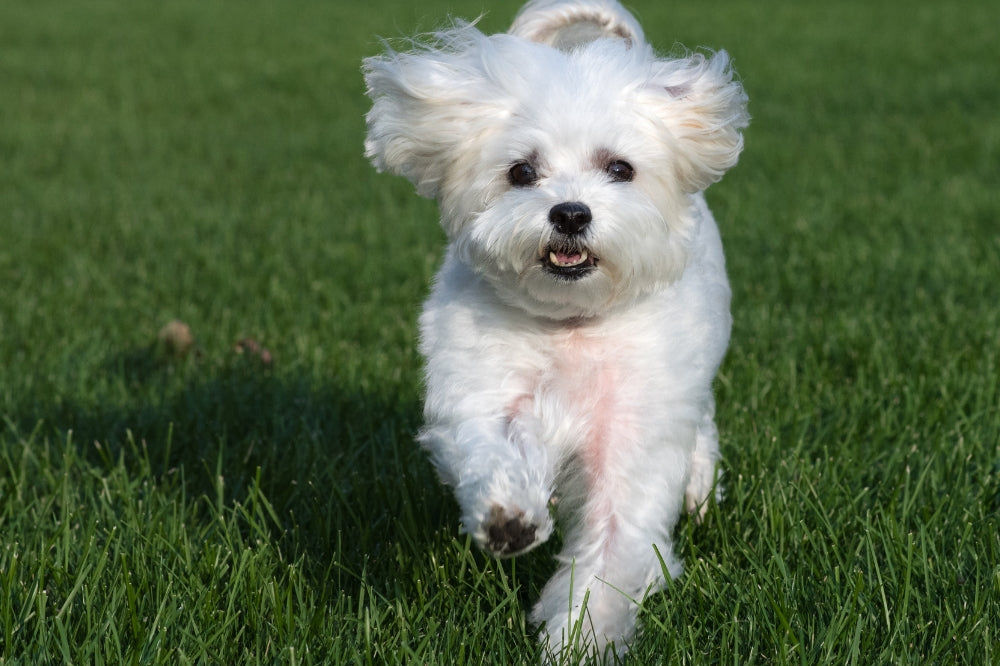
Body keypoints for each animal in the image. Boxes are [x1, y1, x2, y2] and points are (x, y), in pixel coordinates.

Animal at [364, 0, 748, 660]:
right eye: (522, 171)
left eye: (619, 168)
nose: (570, 212)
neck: (572, 325)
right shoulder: (480, 386)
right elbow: (487, 446)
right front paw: (508, 517)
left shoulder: (633, 436)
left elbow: (613, 549)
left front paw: (579, 641)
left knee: (700, 429)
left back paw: (700, 489)